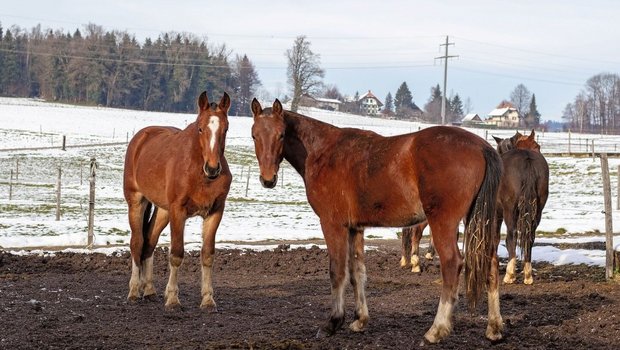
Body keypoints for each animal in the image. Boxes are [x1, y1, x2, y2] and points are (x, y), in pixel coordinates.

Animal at [123, 91, 232, 310]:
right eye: (200, 128)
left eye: (225, 128)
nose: (213, 168)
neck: (198, 173)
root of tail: (140, 138)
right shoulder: (178, 212)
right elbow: (176, 254)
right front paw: (173, 299)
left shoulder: (215, 212)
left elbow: (208, 255)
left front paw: (208, 299)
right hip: (137, 202)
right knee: (137, 243)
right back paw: (134, 291)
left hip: (163, 211)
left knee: (149, 242)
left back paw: (149, 290)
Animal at [251, 99, 504, 344]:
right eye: (254, 135)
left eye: (281, 134)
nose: (268, 179)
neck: (323, 152)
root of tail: (481, 147)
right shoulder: (355, 228)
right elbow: (357, 271)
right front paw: (360, 320)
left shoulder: (333, 224)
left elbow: (337, 271)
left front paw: (333, 322)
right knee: (491, 264)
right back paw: (494, 328)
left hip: (443, 222)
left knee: (452, 264)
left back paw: (436, 330)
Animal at [494, 131, 548, 284]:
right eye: (537, 146)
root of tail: (527, 159)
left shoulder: (497, 213)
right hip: (538, 211)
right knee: (530, 237)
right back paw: (528, 274)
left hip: (510, 211)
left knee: (511, 237)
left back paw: (510, 274)